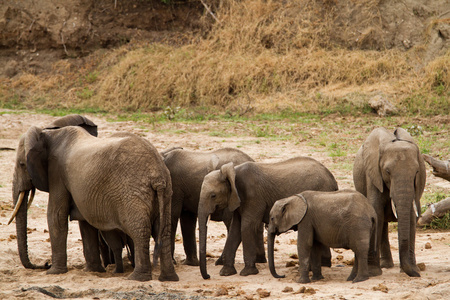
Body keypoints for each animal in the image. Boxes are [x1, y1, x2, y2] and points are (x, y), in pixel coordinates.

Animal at [8, 124, 178, 282]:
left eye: (22, 165)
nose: (45, 264)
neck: (49, 133)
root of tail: (157, 174)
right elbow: (85, 222)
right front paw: (93, 271)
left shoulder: (57, 173)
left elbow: (56, 216)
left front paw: (53, 272)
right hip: (166, 192)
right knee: (163, 231)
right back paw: (168, 278)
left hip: (132, 193)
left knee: (139, 230)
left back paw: (137, 278)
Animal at [197, 157, 338, 278]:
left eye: (213, 196)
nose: (208, 276)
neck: (232, 171)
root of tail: (333, 179)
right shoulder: (237, 199)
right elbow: (235, 229)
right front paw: (226, 273)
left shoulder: (253, 197)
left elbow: (246, 226)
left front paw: (247, 273)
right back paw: (324, 264)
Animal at [352, 126, 426, 276]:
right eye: (387, 171)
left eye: (416, 172)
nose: (417, 275)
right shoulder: (373, 175)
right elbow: (376, 212)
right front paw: (373, 272)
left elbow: (410, 216)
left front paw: (413, 269)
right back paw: (385, 265)